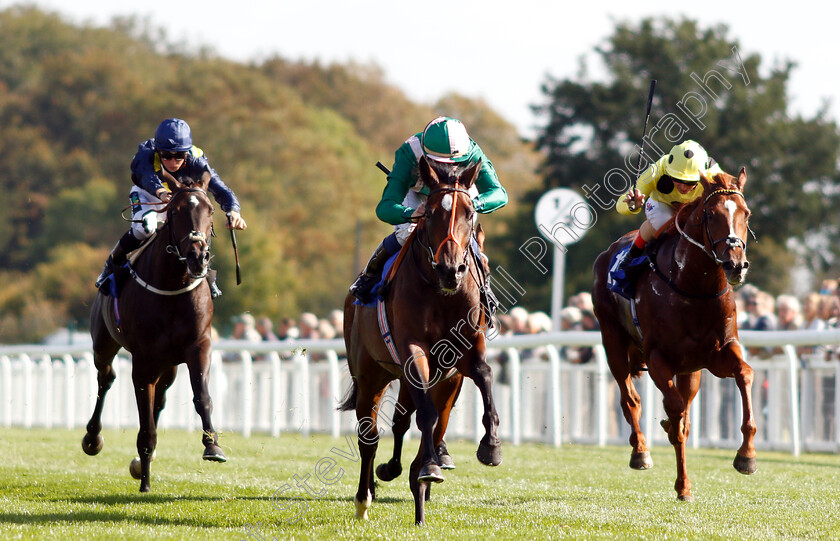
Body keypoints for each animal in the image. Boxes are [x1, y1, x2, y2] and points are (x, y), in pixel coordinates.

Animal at [82, 171, 225, 492]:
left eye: (210, 210)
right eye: (175, 212)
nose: (198, 256)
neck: (173, 286)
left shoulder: (199, 346)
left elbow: (202, 396)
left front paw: (212, 445)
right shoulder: (143, 359)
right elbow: (145, 421)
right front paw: (145, 482)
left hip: (168, 364)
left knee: (159, 397)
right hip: (103, 344)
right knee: (105, 378)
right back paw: (93, 438)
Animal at [340, 155, 498, 524]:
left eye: (470, 213)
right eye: (430, 214)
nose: (451, 270)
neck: (442, 294)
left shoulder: (462, 359)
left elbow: (483, 378)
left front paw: (490, 445)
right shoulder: (414, 352)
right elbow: (426, 418)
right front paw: (428, 468)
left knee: (405, 421)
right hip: (370, 374)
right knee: (369, 437)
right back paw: (364, 498)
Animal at [592, 167, 756, 500]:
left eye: (745, 213)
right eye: (711, 214)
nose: (735, 264)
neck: (694, 287)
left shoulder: (718, 353)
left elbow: (745, 374)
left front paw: (746, 456)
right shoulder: (658, 359)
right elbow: (676, 412)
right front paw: (683, 485)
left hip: (690, 370)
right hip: (612, 341)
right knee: (630, 399)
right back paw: (640, 452)